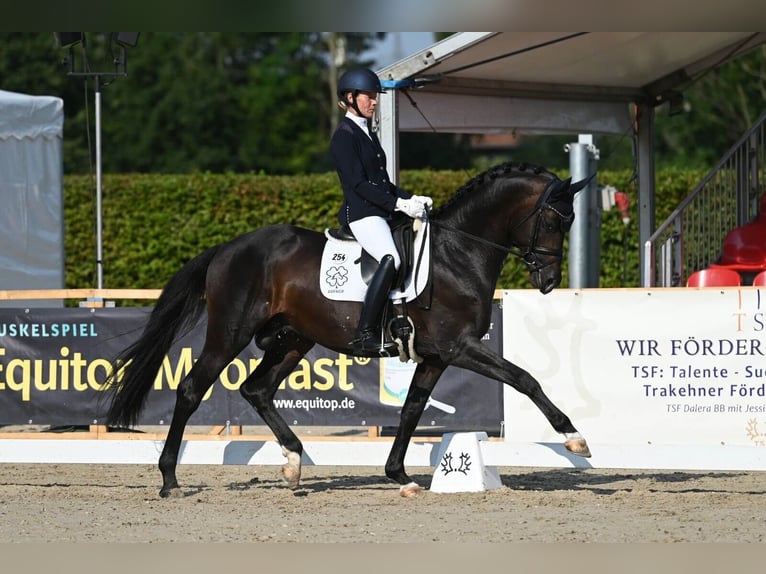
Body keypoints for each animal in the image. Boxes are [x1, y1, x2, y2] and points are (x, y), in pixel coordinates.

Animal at [103, 162, 592, 500]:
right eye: (553, 221)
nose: (549, 281)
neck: (458, 253)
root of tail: (227, 247)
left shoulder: (435, 357)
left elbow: (411, 410)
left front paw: (399, 476)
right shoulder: (460, 347)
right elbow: (525, 378)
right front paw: (574, 438)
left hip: (293, 339)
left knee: (256, 389)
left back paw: (294, 463)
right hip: (231, 334)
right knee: (191, 389)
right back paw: (170, 479)